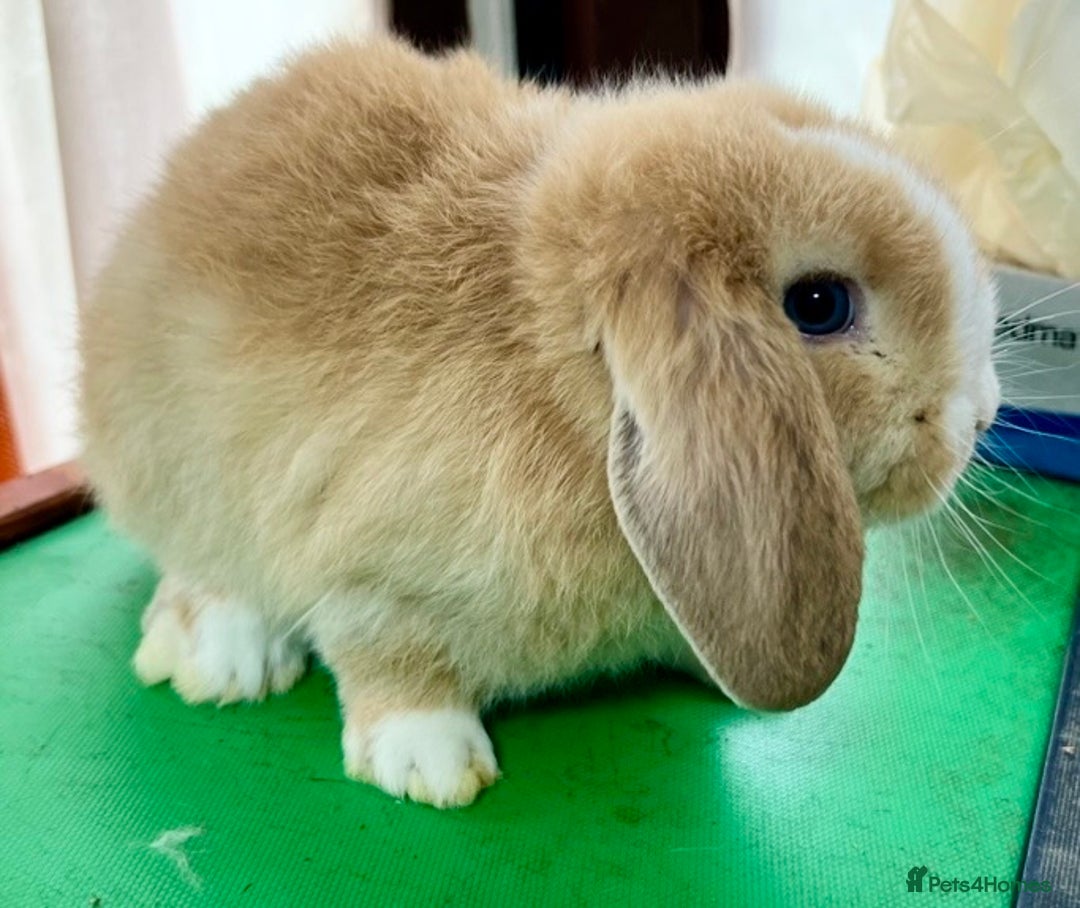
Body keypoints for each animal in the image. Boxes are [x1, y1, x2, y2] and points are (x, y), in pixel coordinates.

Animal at [79, 36, 1000, 807]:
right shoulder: (367, 574)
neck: (554, 378)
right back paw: (226, 661)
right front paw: (431, 765)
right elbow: (388, 658)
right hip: (170, 464)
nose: (981, 414)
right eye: (818, 305)